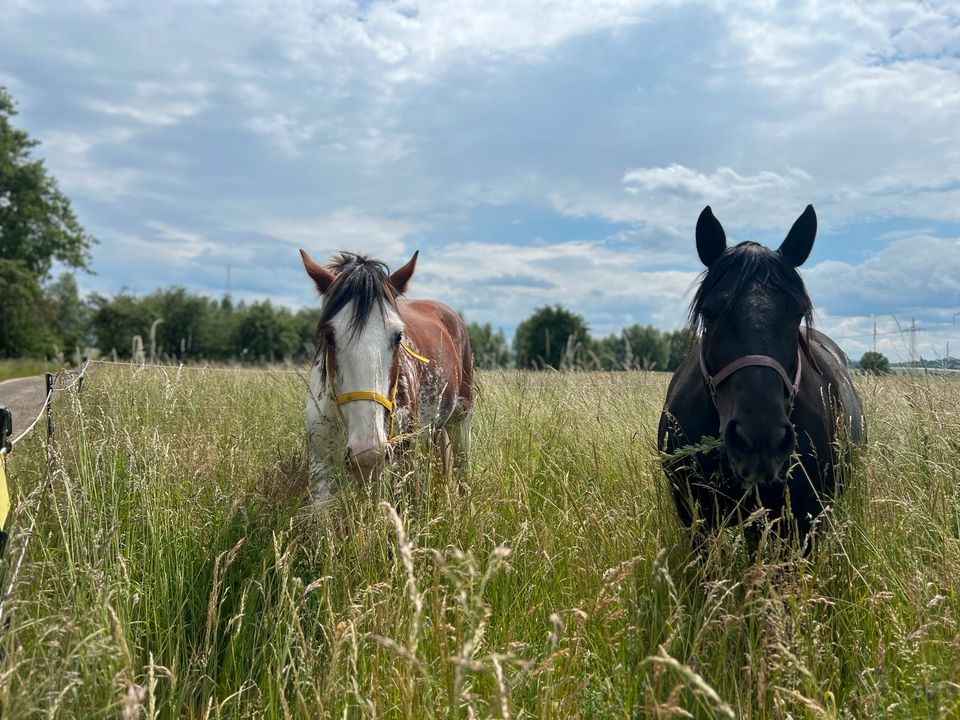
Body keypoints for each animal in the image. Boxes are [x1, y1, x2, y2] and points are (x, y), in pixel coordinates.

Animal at [300, 250, 472, 498]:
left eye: (399, 336)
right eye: (329, 336)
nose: (367, 453)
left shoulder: (404, 466)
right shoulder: (321, 472)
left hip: (461, 419)